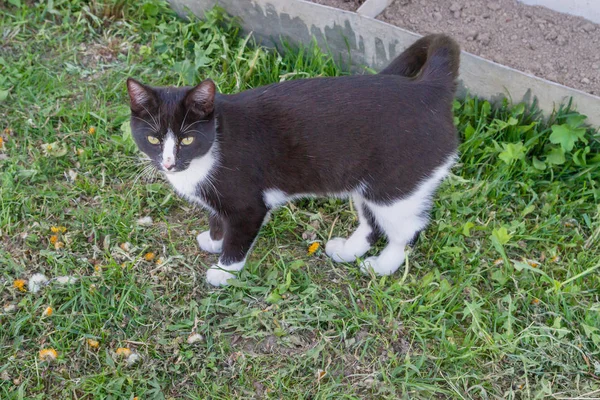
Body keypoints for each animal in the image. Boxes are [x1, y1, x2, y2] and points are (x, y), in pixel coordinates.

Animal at [126, 33, 460, 284]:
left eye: (187, 139)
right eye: (154, 139)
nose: (168, 163)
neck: (210, 147)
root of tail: (430, 90)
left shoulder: (248, 203)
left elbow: (239, 235)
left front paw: (224, 270)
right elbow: (217, 217)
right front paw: (214, 238)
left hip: (395, 184)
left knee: (406, 231)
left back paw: (381, 266)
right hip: (367, 181)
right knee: (372, 222)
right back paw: (348, 252)